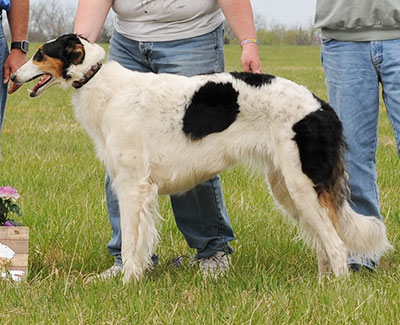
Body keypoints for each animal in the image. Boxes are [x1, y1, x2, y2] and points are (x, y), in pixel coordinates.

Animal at [11, 33, 390, 280]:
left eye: (40, 54)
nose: (13, 75)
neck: (101, 82)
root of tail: (322, 105)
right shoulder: (133, 186)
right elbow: (139, 243)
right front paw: (133, 278)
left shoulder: (134, 186)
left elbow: (133, 243)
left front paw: (127, 283)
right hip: (286, 186)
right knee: (326, 243)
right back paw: (323, 283)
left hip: (301, 185)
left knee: (337, 245)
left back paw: (336, 289)